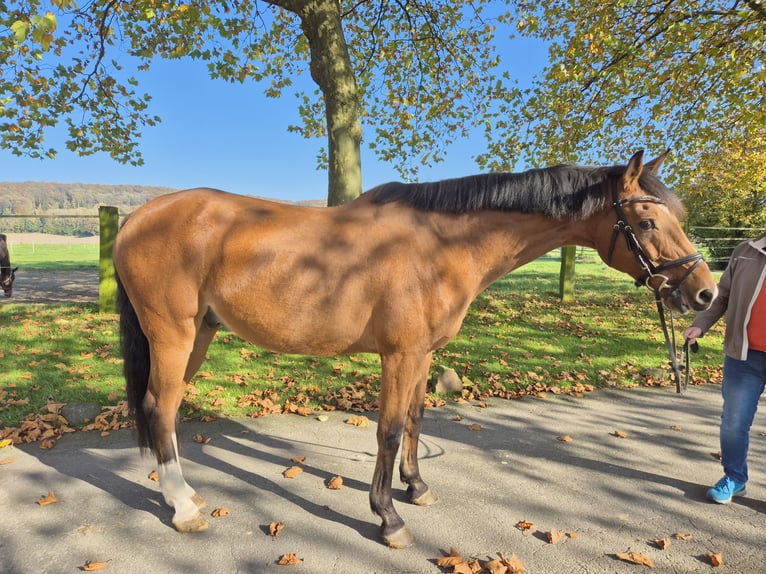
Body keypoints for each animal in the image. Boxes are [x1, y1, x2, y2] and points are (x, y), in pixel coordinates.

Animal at [112, 152, 720, 548]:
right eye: (647, 220)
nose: (704, 293)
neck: (440, 245)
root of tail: (136, 218)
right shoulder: (399, 354)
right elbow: (386, 428)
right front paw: (387, 518)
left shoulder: (424, 353)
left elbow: (415, 418)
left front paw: (416, 488)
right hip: (174, 335)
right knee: (159, 408)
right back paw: (184, 508)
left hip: (200, 334)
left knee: (163, 409)